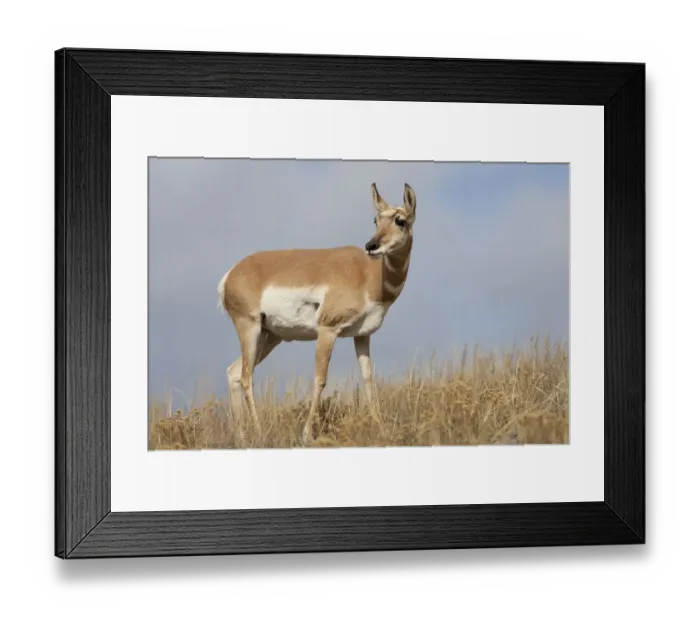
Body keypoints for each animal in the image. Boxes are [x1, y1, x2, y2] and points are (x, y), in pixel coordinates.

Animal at [217, 182, 417, 445]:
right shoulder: (327, 330)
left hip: (268, 336)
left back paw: (241, 438)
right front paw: (306, 435)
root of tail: (232, 273)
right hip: (249, 329)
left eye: (400, 220)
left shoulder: (362, 335)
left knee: (233, 372)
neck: (367, 275)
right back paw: (259, 434)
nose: (371, 246)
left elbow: (368, 380)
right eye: (376, 219)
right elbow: (320, 380)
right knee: (246, 377)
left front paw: (382, 429)